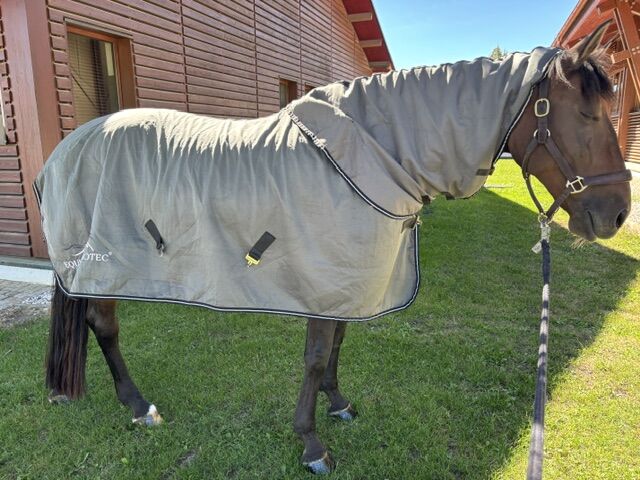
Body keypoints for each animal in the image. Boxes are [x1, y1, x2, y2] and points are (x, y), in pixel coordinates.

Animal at [36, 23, 631, 475]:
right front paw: (311, 443)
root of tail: (65, 150)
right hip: (103, 265)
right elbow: (317, 355)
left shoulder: (345, 281)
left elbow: (338, 346)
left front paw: (338, 404)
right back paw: (139, 407)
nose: (618, 215)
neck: (371, 151)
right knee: (104, 325)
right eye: (586, 114)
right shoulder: (321, 280)